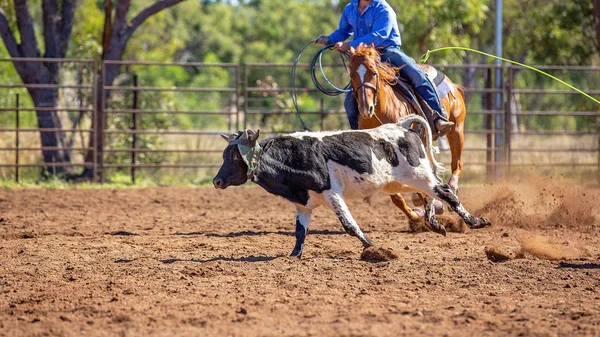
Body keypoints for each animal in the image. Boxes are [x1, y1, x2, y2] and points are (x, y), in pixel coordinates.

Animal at [213, 114, 490, 256]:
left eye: (235, 157)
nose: (217, 181)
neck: (293, 157)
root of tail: (400, 126)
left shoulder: (332, 192)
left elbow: (349, 225)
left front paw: (375, 248)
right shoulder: (304, 204)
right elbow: (300, 233)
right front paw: (293, 257)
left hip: (417, 174)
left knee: (445, 192)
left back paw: (476, 222)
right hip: (401, 182)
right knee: (429, 195)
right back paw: (434, 224)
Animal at [344, 44, 466, 223]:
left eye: (374, 72)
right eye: (352, 74)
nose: (366, 109)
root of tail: (453, 85)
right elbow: (396, 194)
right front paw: (416, 214)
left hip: (456, 129)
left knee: (456, 164)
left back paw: (452, 187)